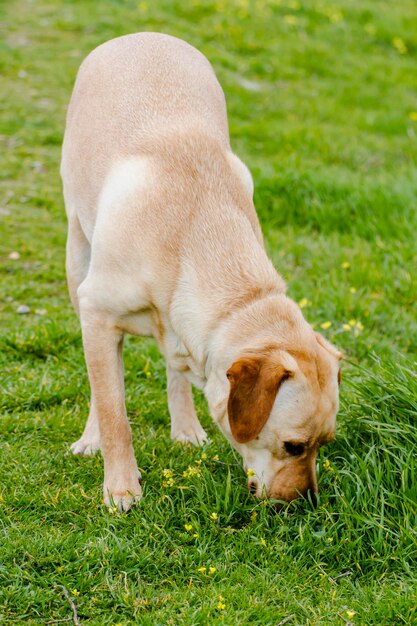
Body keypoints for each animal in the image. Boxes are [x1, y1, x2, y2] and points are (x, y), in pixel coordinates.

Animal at [61, 33, 342, 508]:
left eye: (325, 443)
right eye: (293, 446)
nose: (307, 503)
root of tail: (142, 34)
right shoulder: (98, 314)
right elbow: (114, 410)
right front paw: (121, 486)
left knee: (174, 367)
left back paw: (187, 428)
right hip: (76, 256)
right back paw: (92, 438)